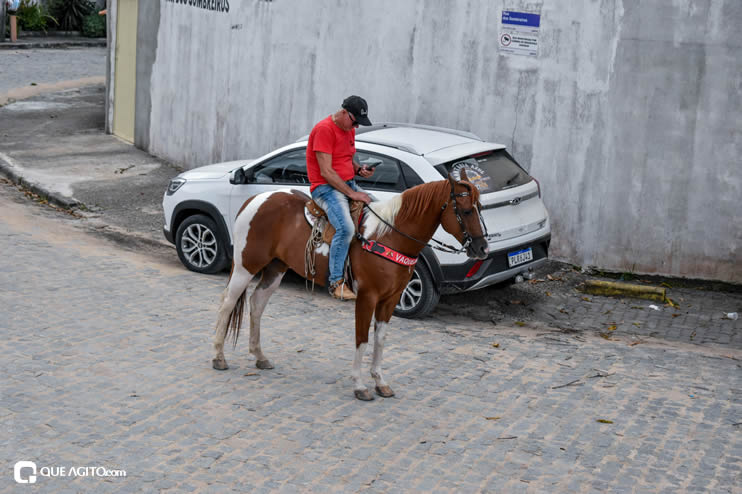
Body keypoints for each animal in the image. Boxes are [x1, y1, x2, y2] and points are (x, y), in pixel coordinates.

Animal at [212, 174, 492, 402]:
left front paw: (380, 382)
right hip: (246, 266)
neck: (389, 236)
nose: (482, 248)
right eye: (466, 211)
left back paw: (259, 356)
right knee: (227, 303)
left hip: (275, 269)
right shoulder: (367, 297)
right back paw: (219, 357)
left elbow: (380, 339)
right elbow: (362, 338)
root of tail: (255, 199)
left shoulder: (390, 299)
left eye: (480, 208)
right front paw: (359, 386)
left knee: (257, 304)